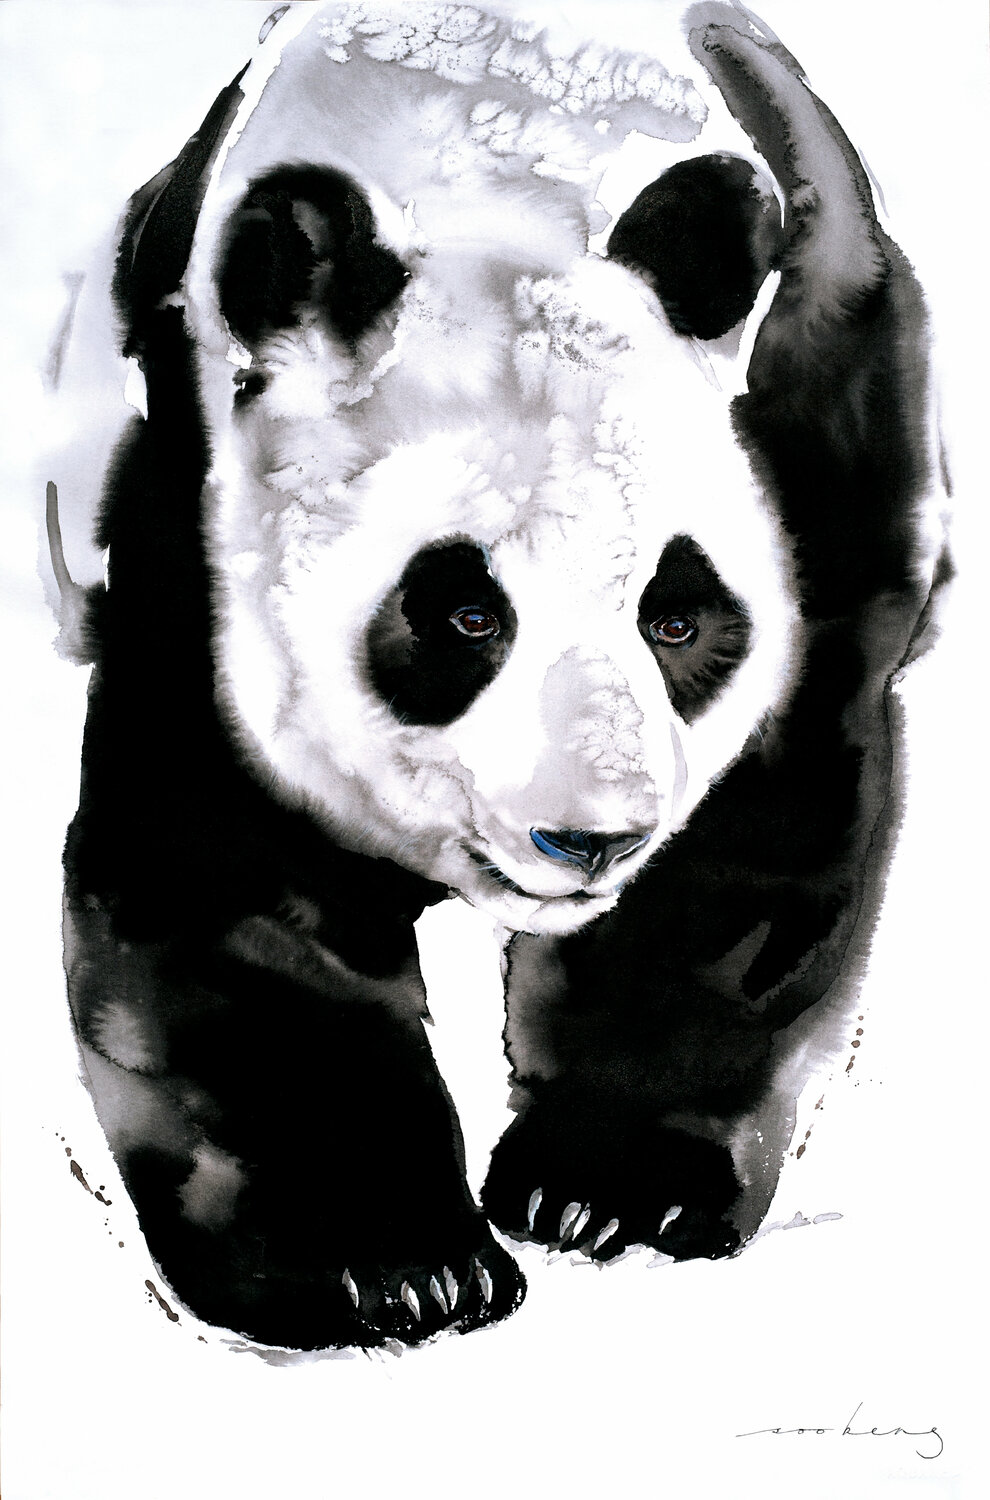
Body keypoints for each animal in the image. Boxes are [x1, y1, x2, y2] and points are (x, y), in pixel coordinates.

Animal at [58, 0, 942, 1351]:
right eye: (466, 616)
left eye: (677, 621)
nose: (594, 840)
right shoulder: (195, 516)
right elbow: (214, 881)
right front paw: (385, 1268)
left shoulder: (814, 426)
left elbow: (755, 834)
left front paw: (608, 1192)